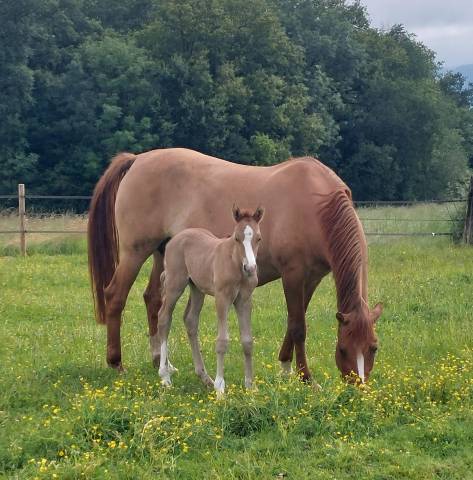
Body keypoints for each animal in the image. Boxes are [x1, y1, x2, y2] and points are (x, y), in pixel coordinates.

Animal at [157, 204, 264, 396]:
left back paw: (205, 377)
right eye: (237, 238)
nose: (250, 268)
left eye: (258, 238)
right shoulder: (222, 298)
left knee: (190, 320)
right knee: (164, 318)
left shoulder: (244, 300)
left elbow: (247, 341)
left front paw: (250, 386)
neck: (234, 262)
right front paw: (220, 388)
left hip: (197, 289)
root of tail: (176, 238)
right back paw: (165, 376)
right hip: (175, 285)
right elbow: (222, 341)